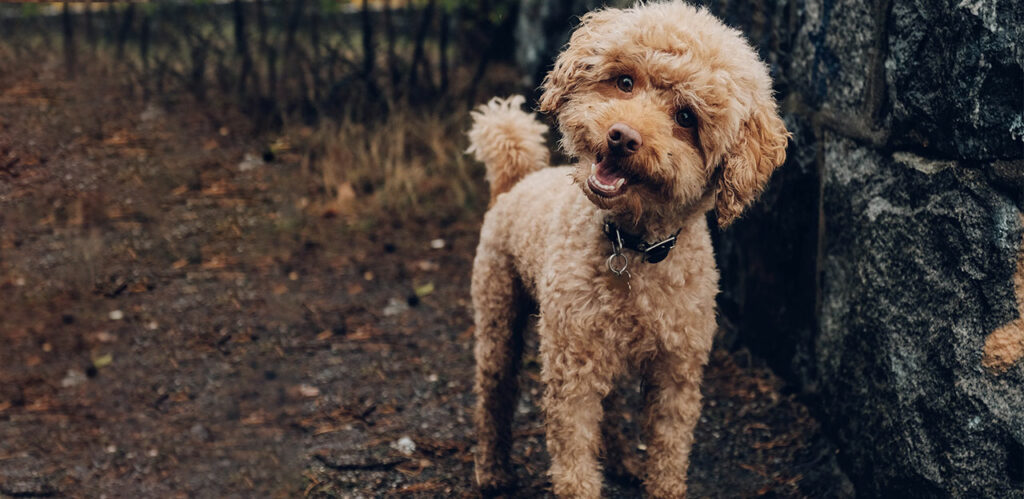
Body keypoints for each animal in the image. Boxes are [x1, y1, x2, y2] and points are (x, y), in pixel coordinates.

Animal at [468, 1, 786, 497]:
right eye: (624, 82)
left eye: (686, 118)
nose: (622, 136)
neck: (633, 245)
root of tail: (515, 181)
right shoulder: (572, 367)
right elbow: (574, 457)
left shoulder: (677, 371)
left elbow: (669, 452)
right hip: (498, 311)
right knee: (493, 394)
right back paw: (492, 470)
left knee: (611, 406)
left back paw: (620, 461)